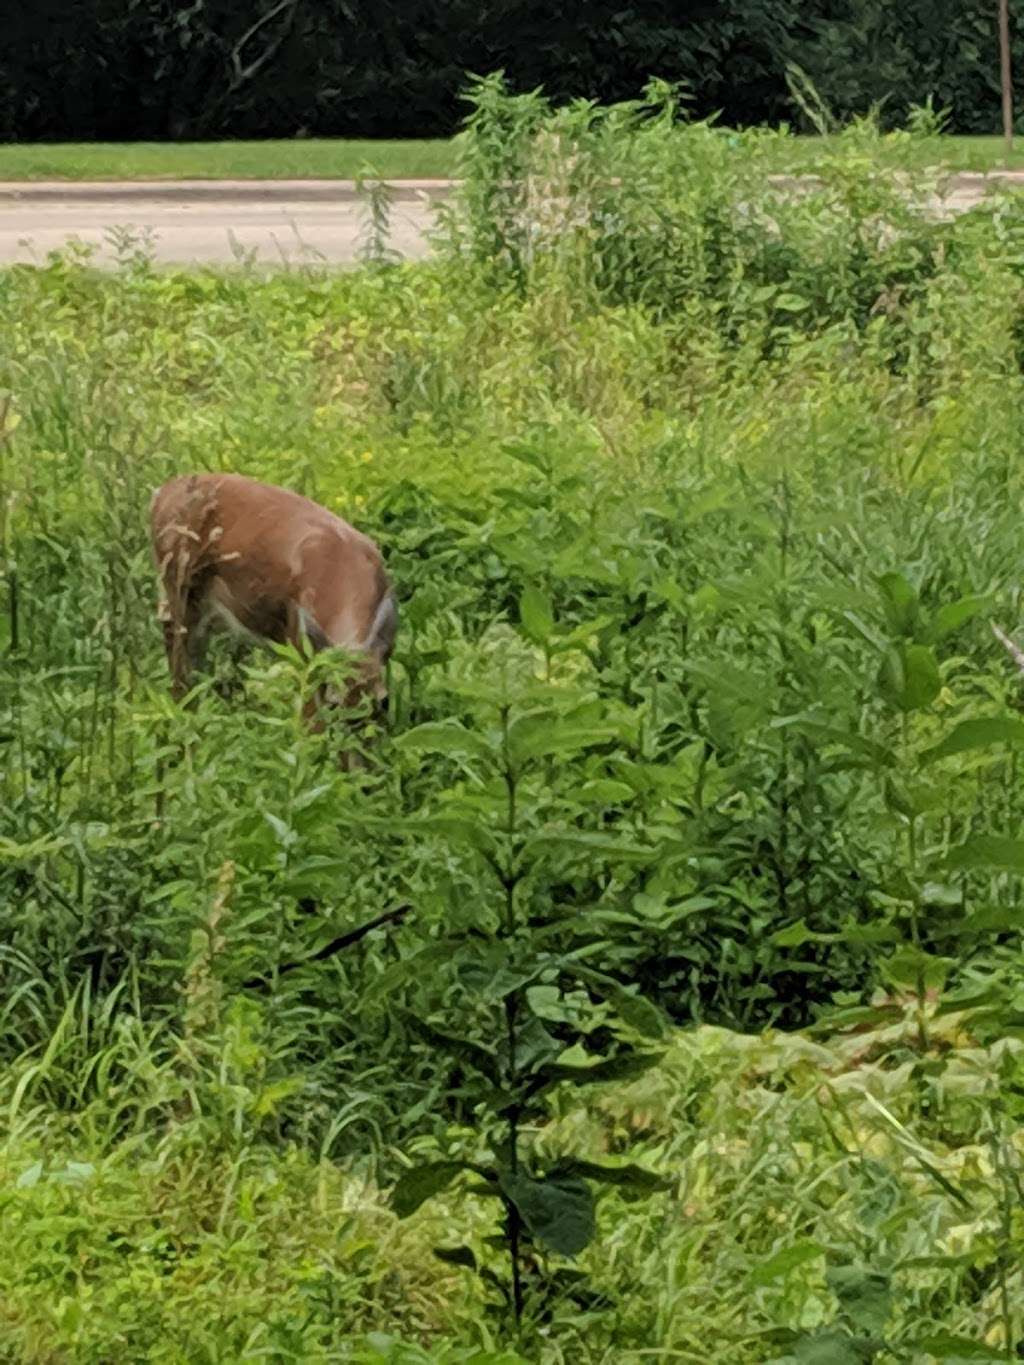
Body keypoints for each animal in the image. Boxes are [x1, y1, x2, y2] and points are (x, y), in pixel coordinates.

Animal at [150, 475, 398, 764]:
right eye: (335, 704)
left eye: (384, 702)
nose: (360, 766)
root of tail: (161, 492)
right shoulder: (302, 651)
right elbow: (310, 728)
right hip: (178, 591)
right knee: (179, 666)